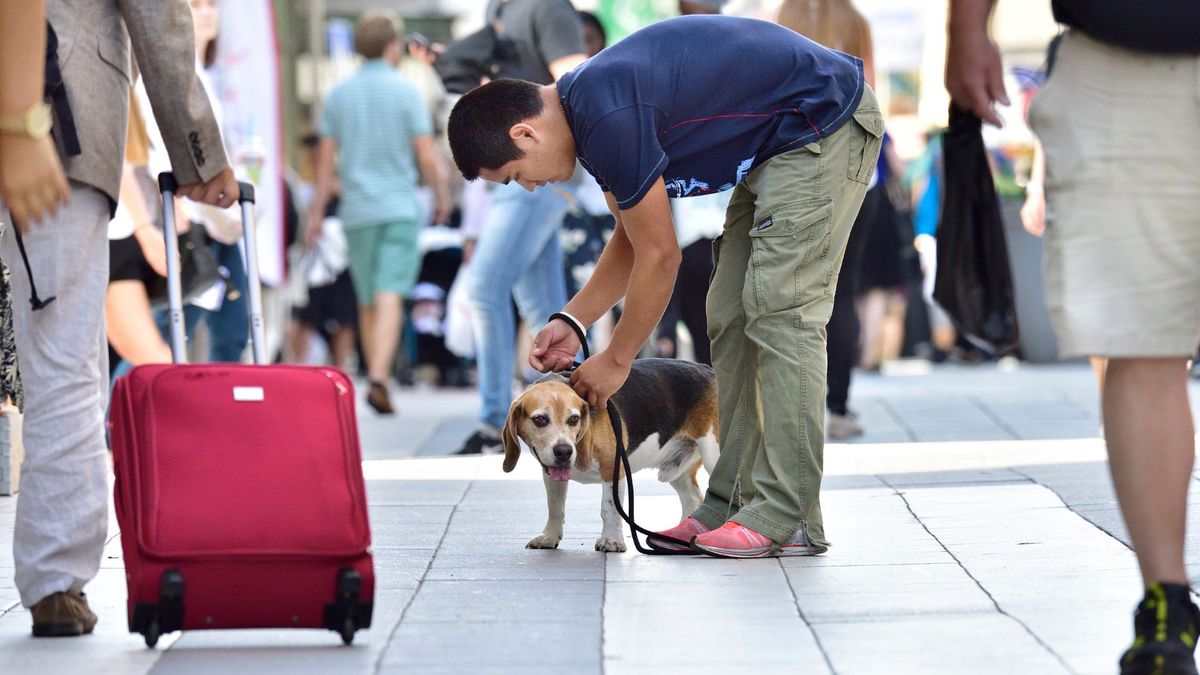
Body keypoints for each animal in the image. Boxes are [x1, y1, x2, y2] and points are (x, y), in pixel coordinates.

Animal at [501, 355, 715, 550]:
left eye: (574, 419)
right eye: (540, 419)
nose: (564, 452)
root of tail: (708, 370)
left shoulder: (612, 468)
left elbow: (609, 508)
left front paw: (611, 540)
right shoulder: (552, 473)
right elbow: (555, 507)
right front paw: (549, 537)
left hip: (712, 455)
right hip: (676, 471)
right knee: (693, 499)